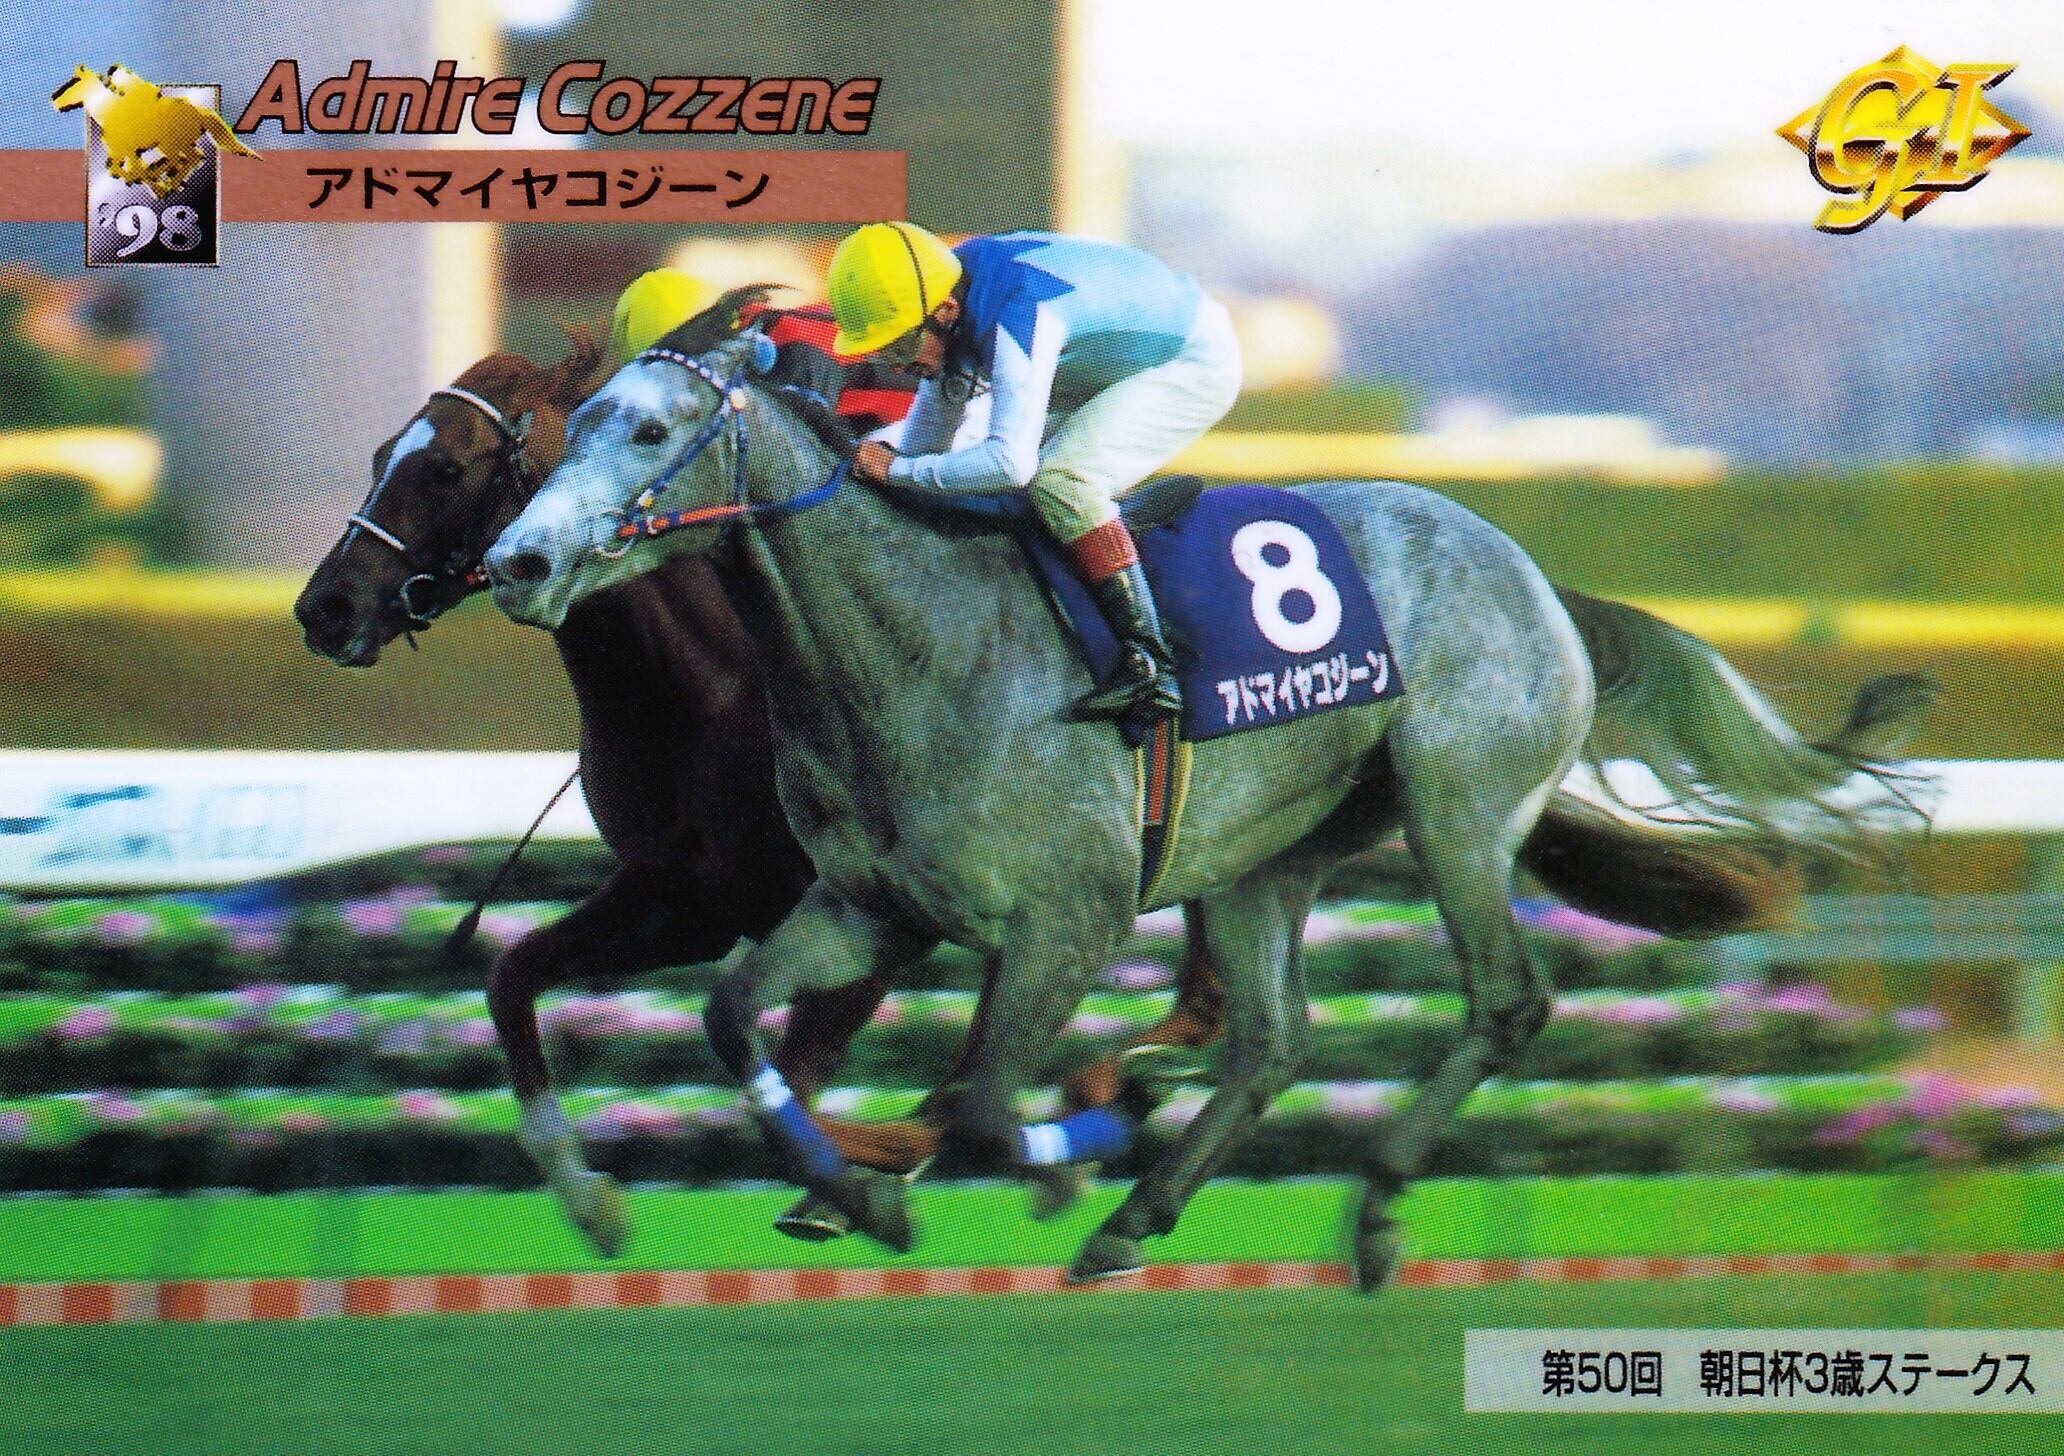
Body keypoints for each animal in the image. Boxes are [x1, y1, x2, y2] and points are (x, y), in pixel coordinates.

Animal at [483, 318, 1930, 1288]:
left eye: (651, 431)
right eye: (574, 426)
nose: (520, 561)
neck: (913, 653)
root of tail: (1532, 575)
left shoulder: (1064, 919)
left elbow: (981, 1102)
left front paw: (1026, 1150)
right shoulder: (870, 905)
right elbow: (736, 1018)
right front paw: (854, 1186)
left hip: (1457, 809)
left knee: (1504, 1003)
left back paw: (1370, 1207)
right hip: (1263, 857)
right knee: (1275, 1043)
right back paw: (1141, 1214)